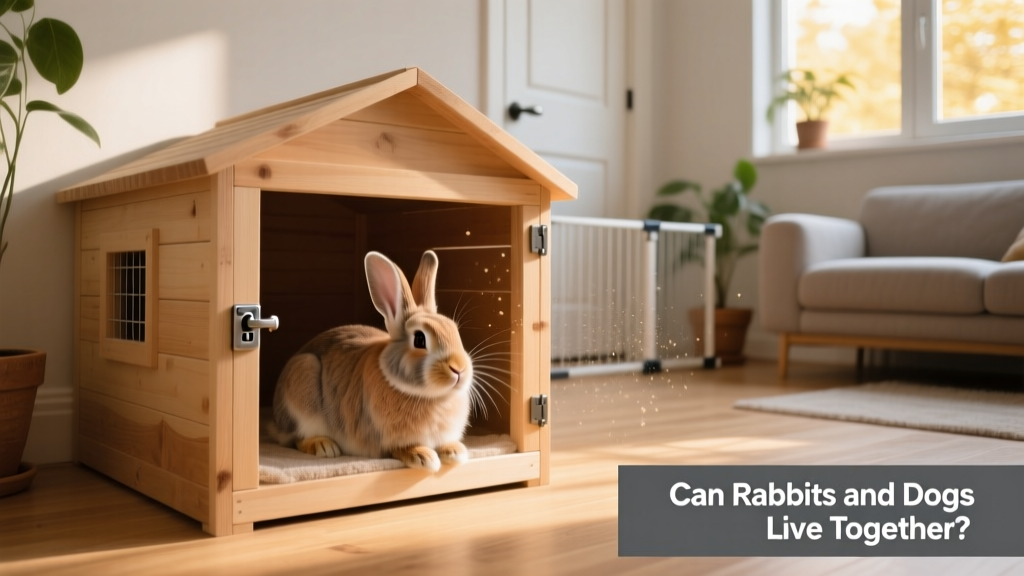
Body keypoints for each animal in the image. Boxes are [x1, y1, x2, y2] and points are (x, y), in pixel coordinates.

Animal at [270, 250, 473, 472]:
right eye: (420, 339)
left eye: (454, 330)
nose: (459, 369)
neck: (433, 396)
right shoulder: (387, 441)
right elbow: (402, 449)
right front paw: (424, 457)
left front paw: (455, 451)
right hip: (303, 385)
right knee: (296, 438)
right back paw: (324, 446)